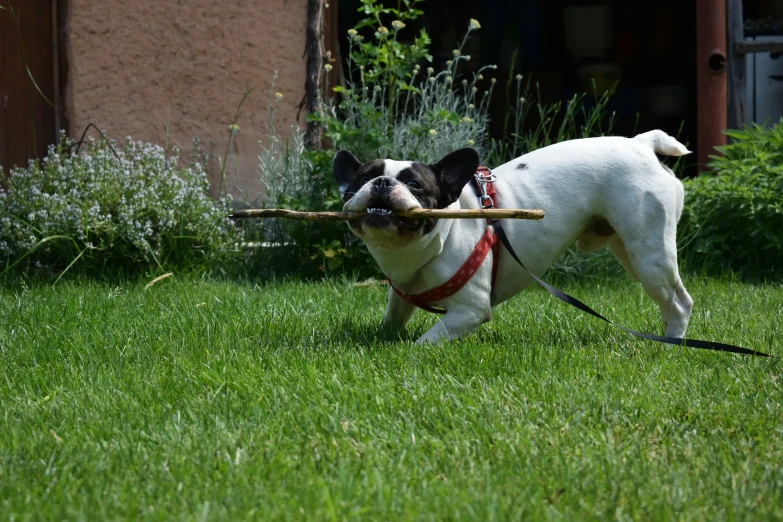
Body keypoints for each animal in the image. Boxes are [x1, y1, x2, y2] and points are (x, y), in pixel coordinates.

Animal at [334, 129, 696, 342]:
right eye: (361, 179)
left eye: (414, 185)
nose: (382, 182)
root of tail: (642, 144)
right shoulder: (401, 293)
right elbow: (394, 315)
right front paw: (382, 335)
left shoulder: (469, 311)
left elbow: (428, 341)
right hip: (630, 249)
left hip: (648, 252)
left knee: (679, 302)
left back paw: (672, 343)